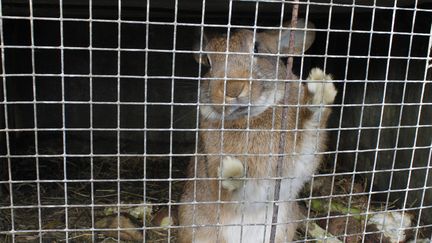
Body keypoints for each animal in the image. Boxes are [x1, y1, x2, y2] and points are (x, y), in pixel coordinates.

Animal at [178, 19, 338, 243]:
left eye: (257, 48)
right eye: (208, 63)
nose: (233, 89)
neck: (252, 118)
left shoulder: (296, 166)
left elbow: (311, 130)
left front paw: (320, 86)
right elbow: (232, 187)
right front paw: (231, 169)